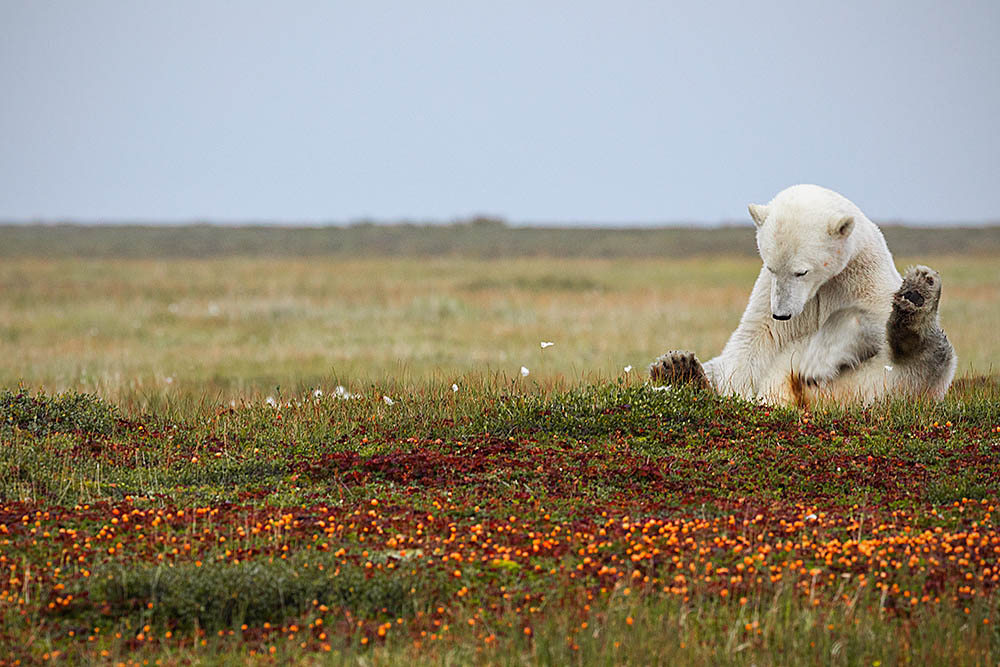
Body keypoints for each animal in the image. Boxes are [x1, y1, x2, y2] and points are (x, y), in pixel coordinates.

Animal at [652, 184, 956, 408]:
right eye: (771, 266)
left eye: (801, 271)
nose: (782, 314)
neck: (823, 285)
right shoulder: (769, 296)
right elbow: (751, 343)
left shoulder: (865, 277)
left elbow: (874, 318)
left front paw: (818, 361)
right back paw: (677, 367)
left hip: (882, 386)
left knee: (924, 365)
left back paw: (918, 297)